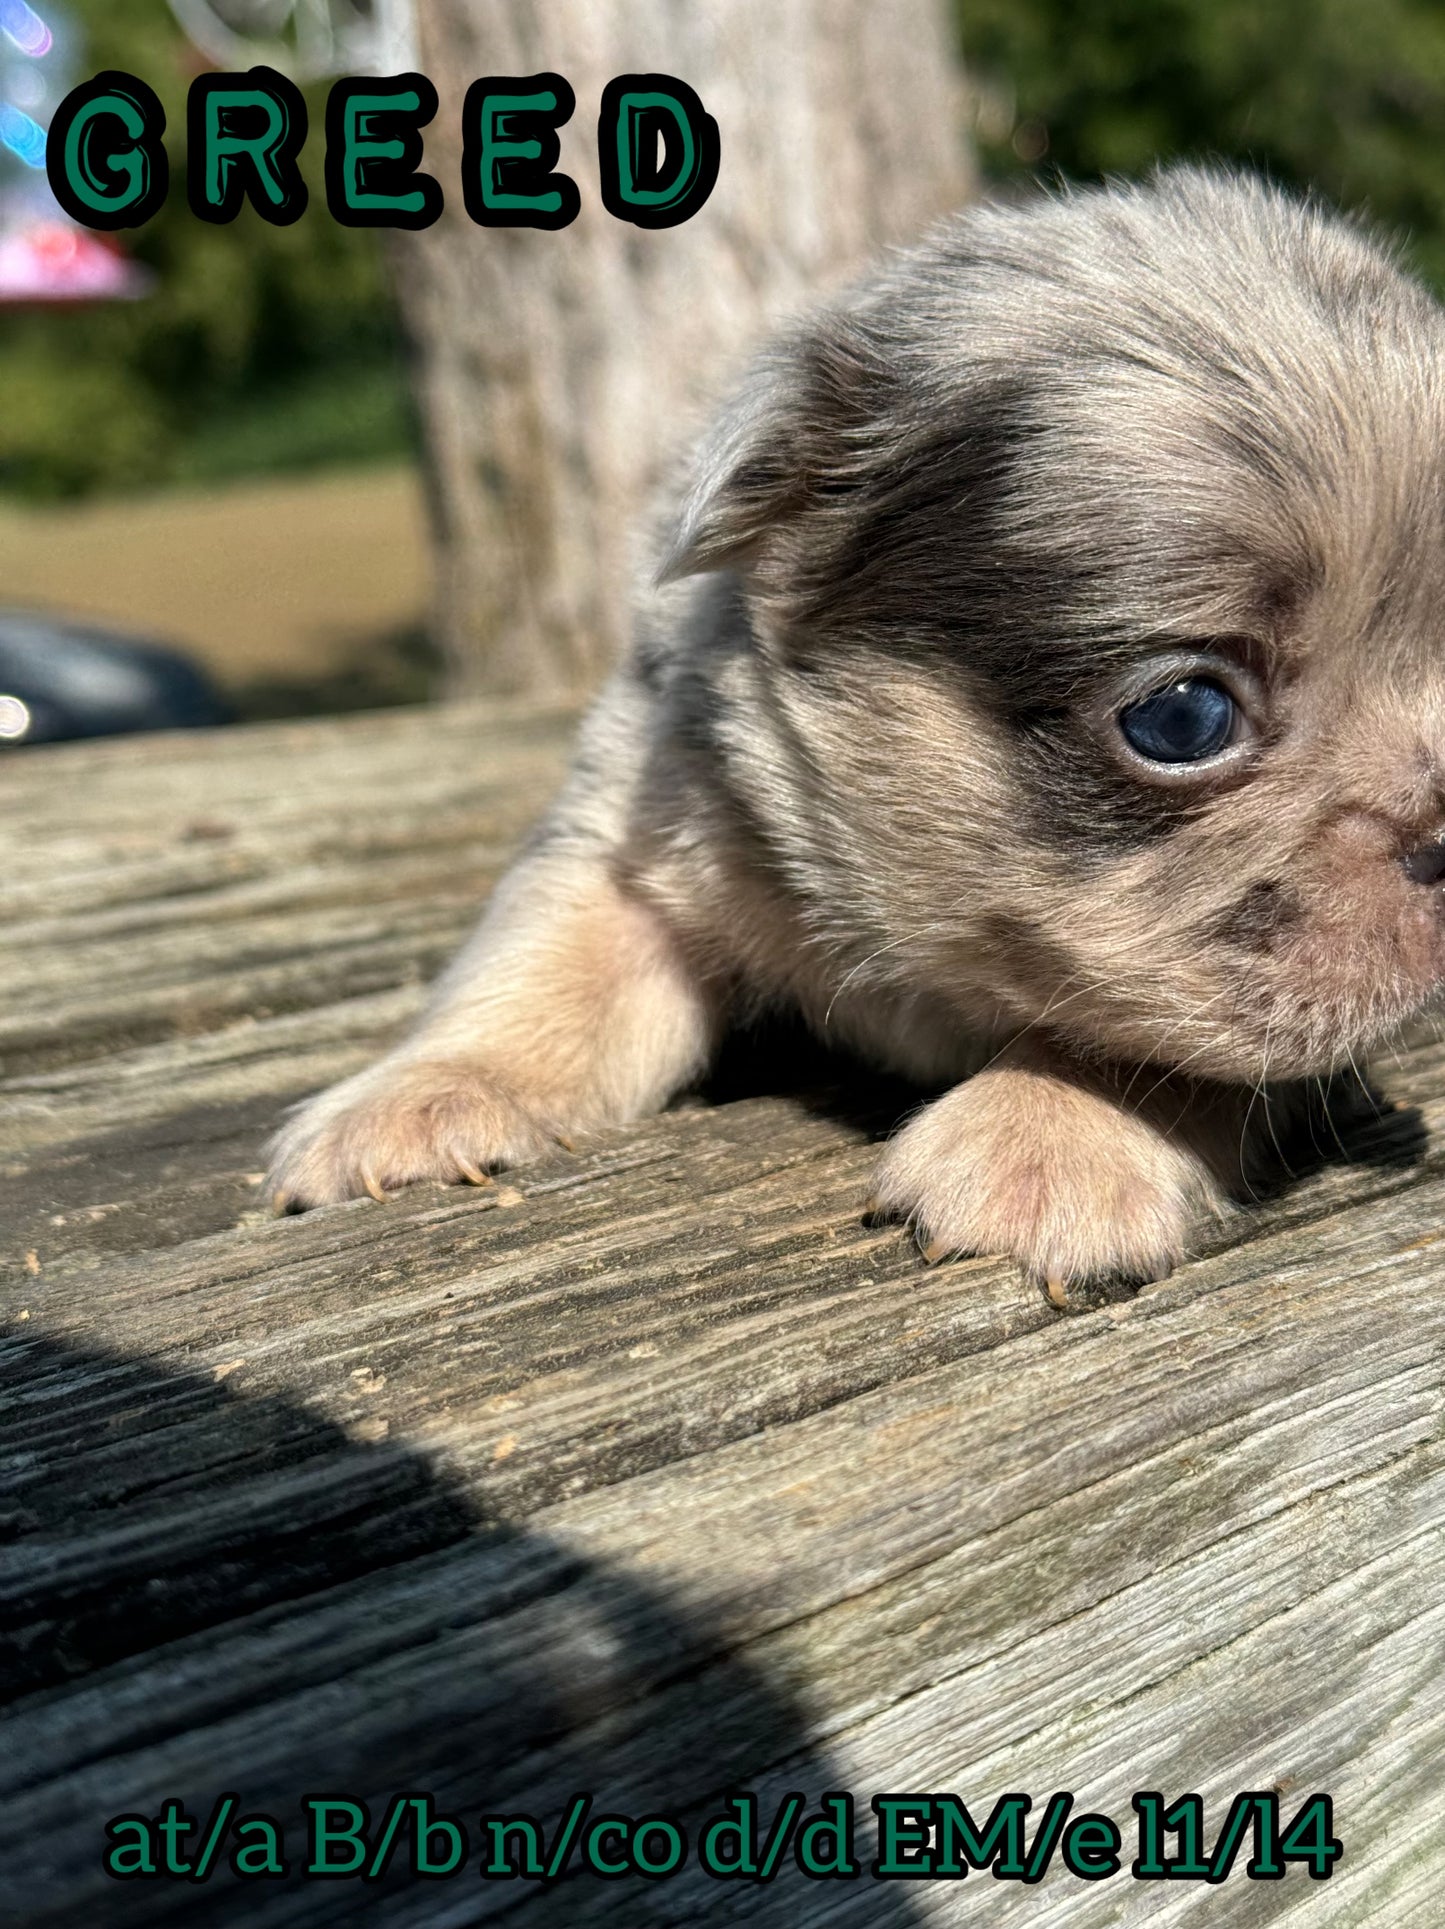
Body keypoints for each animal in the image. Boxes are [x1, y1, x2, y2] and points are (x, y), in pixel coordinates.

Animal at [264, 169, 1443, 1296]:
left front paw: (1046, 1139)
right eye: (1181, 716)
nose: (1441, 839)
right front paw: (426, 1091)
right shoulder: (639, 839)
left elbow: (1149, 1037)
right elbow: (548, 958)